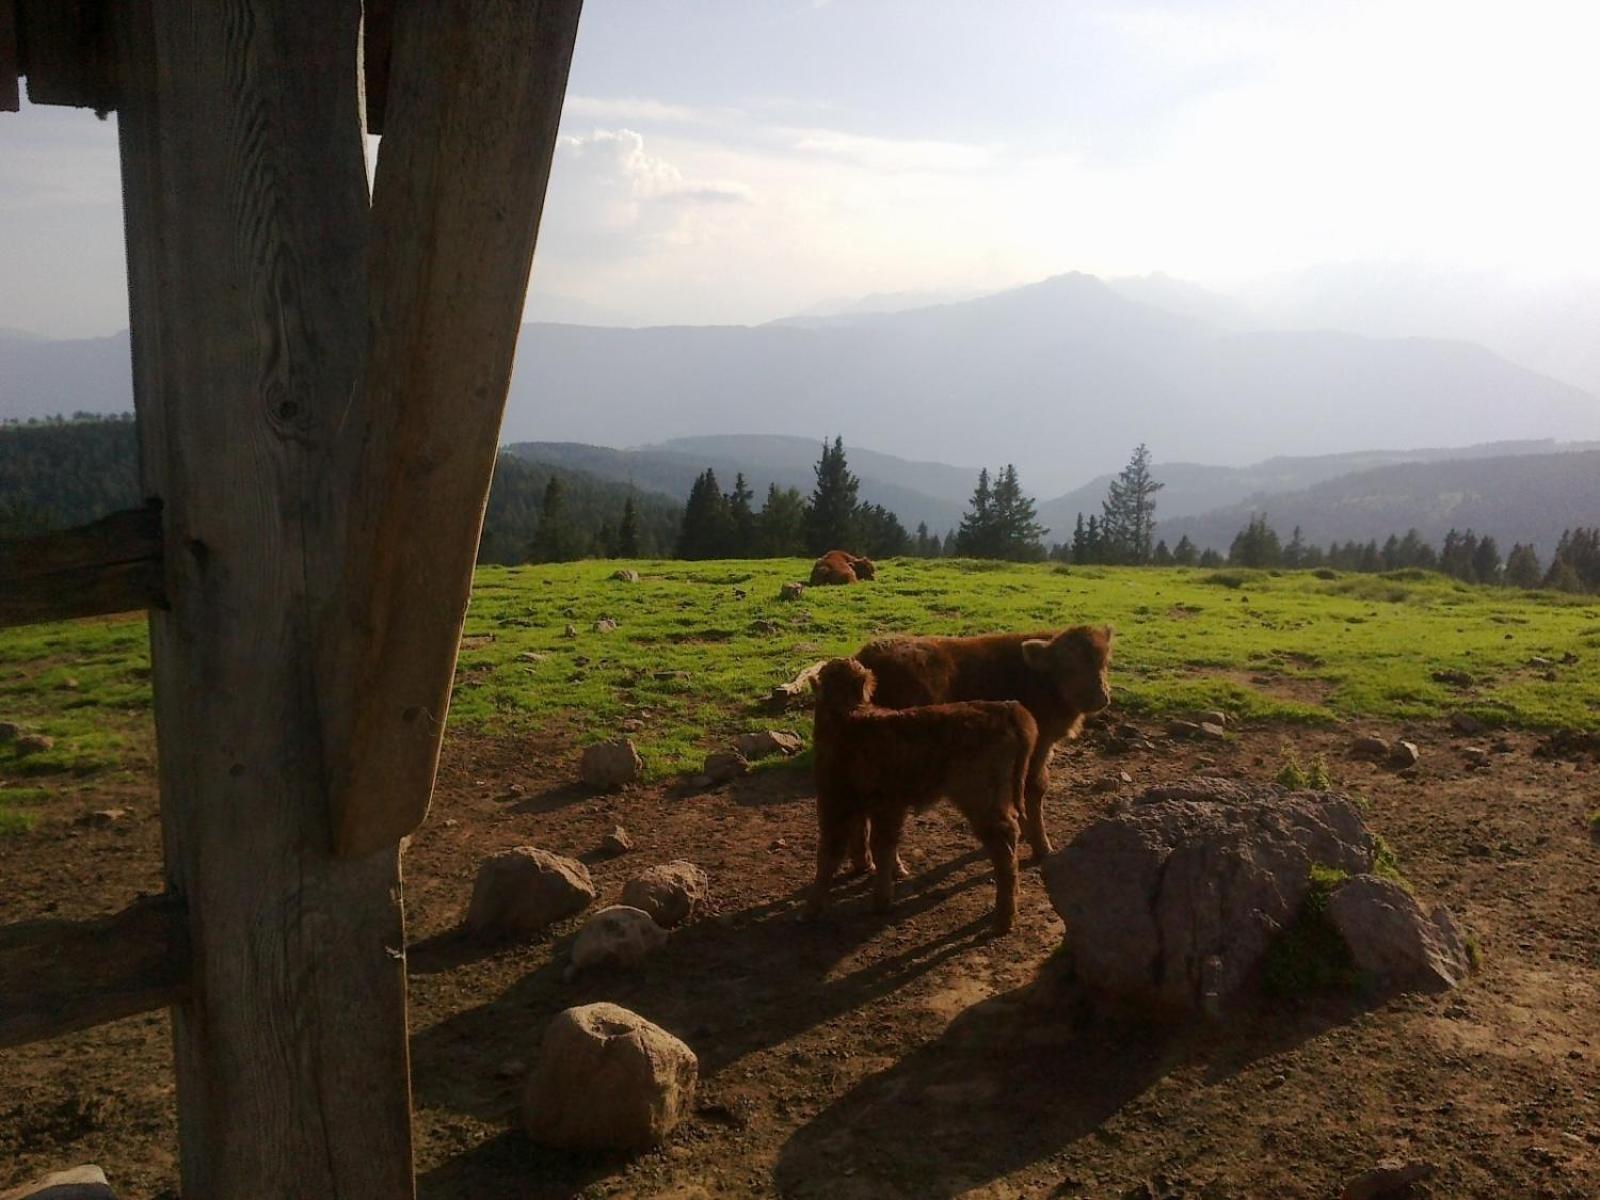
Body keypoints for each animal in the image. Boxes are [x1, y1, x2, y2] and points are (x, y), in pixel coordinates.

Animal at [800, 659, 1036, 940]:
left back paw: (1002, 921)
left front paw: (813, 908)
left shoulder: (835, 803)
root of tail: (1007, 708)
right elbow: (880, 844)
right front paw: (886, 880)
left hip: (981, 802)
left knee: (1004, 848)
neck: (847, 715)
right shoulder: (885, 806)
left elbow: (830, 854)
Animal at [864, 630, 1113, 876]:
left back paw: (869, 864)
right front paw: (1043, 848)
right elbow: (1035, 789)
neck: (1039, 677)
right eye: (1068, 666)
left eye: (1103, 663)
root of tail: (870, 659)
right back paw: (896, 868)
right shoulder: (1038, 750)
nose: (1100, 697)